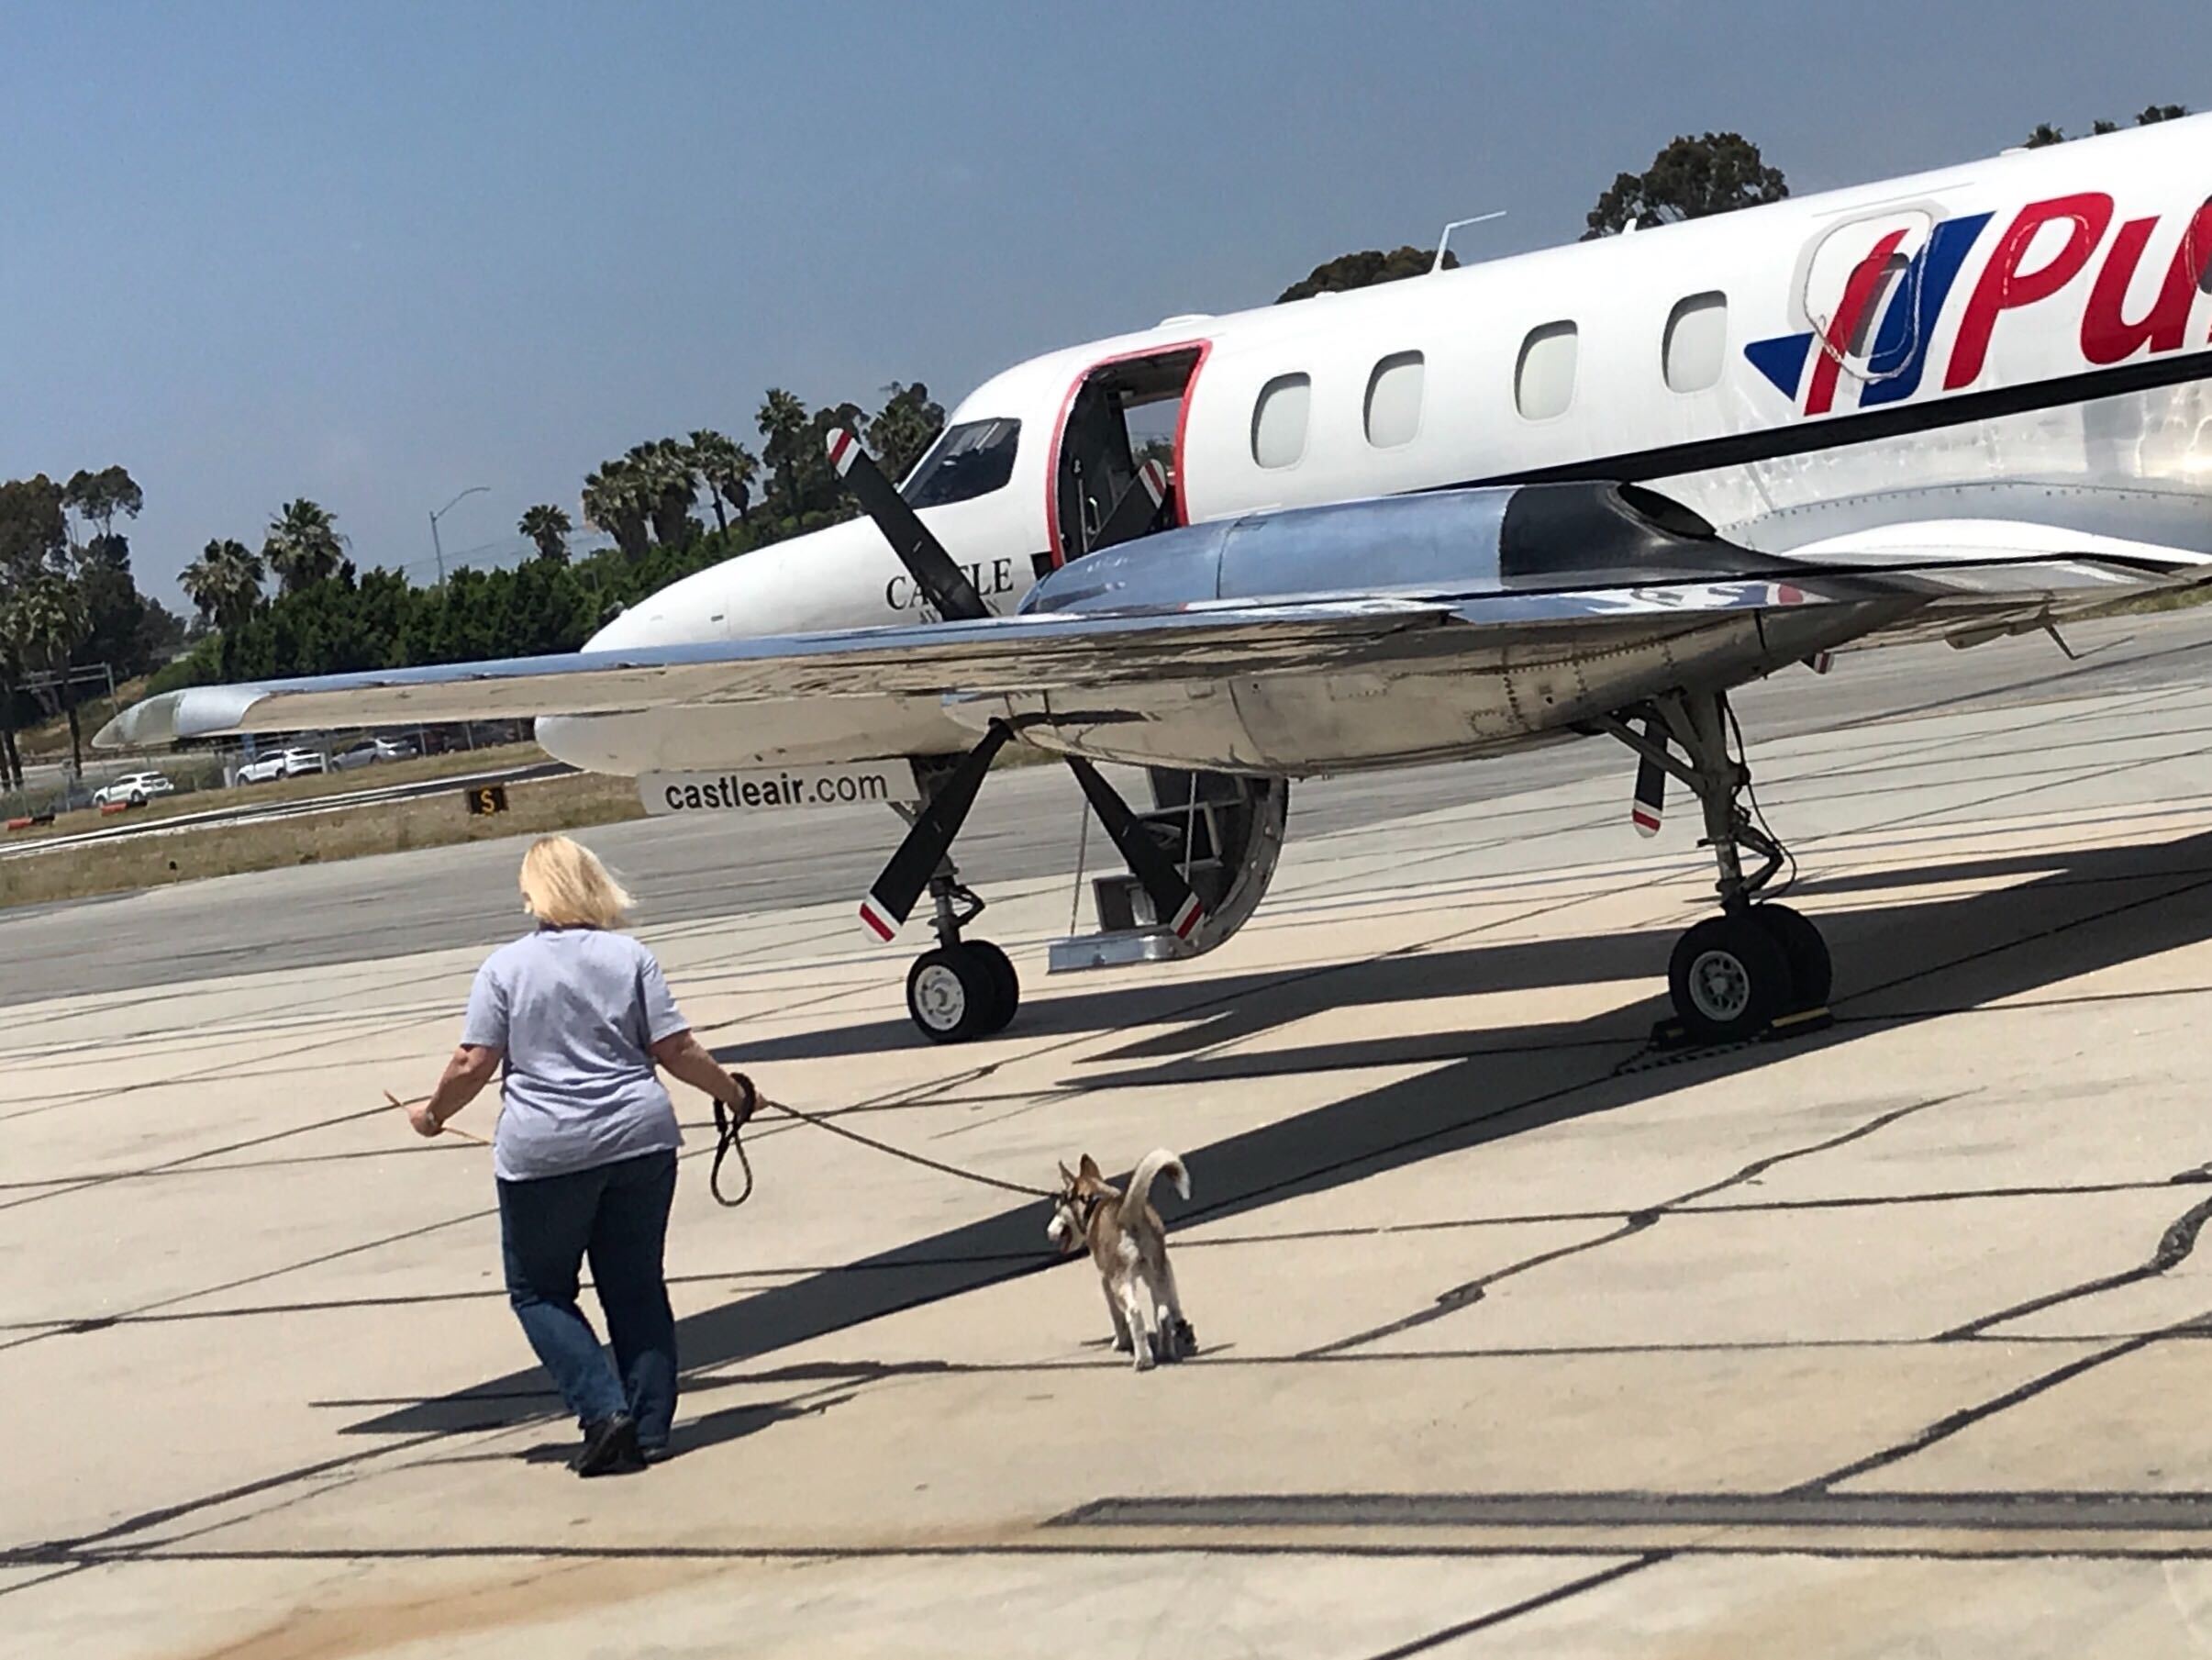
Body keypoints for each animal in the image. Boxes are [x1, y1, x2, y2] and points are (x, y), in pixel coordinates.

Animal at [1048, 1151, 1203, 1372]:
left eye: (1058, 1208)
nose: (1048, 1231)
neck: (1095, 1199)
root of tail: (1129, 1214)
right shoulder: (1166, 1266)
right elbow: (1173, 1303)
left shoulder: (1106, 1280)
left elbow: (1117, 1317)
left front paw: (1120, 1343)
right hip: (1157, 1270)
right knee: (1163, 1313)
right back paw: (1166, 1352)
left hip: (1120, 1282)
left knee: (1134, 1312)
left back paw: (1143, 1360)